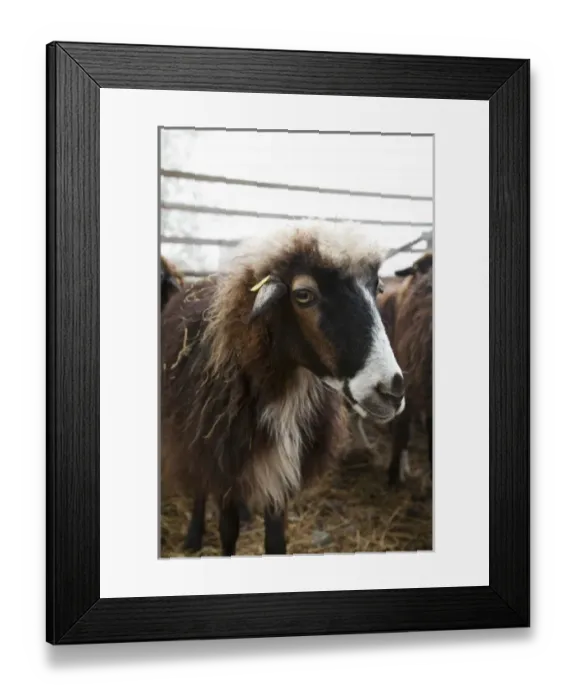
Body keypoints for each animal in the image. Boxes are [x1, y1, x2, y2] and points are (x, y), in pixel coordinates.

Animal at [160, 224, 406, 556]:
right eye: (303, 295)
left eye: (377, 288)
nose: (392, 390)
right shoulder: (223, 463)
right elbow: (227, 531)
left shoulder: (281, 474)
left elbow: (276, 541)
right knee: (199, 485)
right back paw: (194, 536)